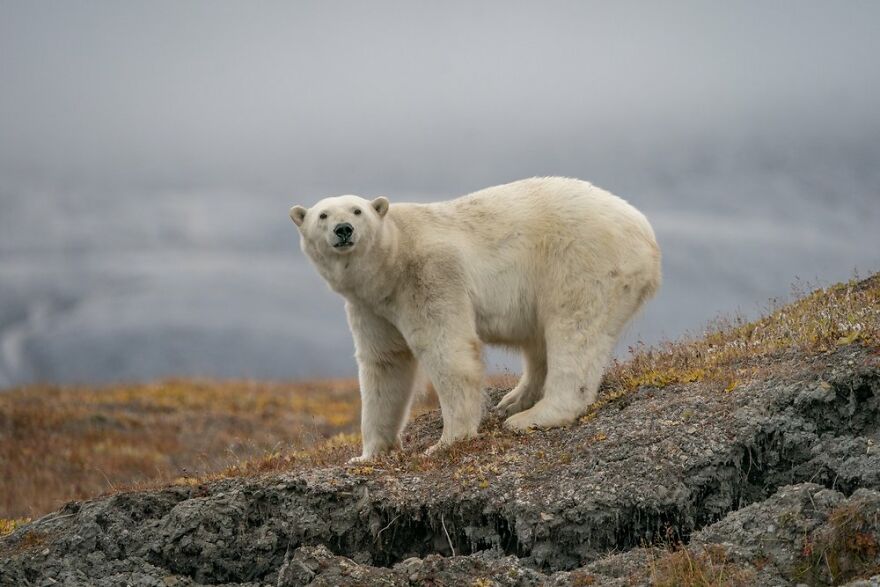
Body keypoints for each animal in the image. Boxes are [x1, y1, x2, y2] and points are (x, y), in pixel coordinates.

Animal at [289, 177, 661, 461]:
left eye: (357, 210)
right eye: (322, 215)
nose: (343, 229)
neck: (391, 262)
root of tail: (646, 233)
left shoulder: (429, 275)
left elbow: (448, 352)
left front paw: (447, 441)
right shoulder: (370, 306)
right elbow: (384, 364)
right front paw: (368, 454)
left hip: (583, 260)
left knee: (574, 328)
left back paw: (533, 416)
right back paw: (513, 400)